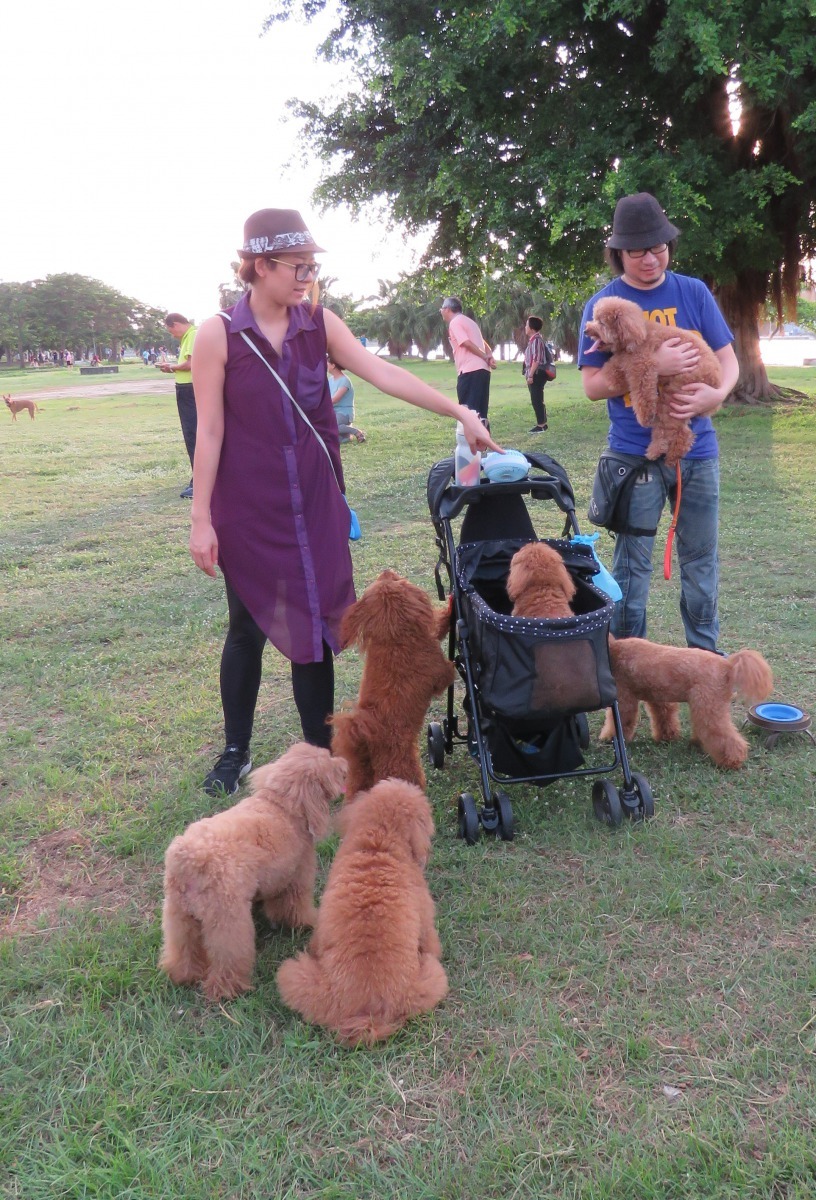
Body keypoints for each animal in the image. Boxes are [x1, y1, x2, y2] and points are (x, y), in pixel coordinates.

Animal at [159, 744, 348, 998]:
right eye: (330, 764)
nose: (345, 765)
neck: (281, 806)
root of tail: (189, 859)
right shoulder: (297, 877)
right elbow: (296, 907)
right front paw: (308, 922)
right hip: (227, 921)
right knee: (228, 957)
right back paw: (227, 989)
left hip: (179, 916)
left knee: (183, 949)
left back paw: (183, 974)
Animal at [277, 782, 448, 1046]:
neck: (379, 843)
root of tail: (367, 1015)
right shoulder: (425, 917)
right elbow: (430, 939)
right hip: (433, 977)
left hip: (299, 978)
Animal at [331, 571, 458, 806]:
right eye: (396, 580)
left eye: (386, 579)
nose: (385, 571)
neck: (394, 637)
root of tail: (364, 737)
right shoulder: (438, 673)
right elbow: (448, 669)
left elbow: (439, 625)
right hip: (401, 767)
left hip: (359, 777)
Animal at [585, 297, 720, 465]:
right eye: (594, 319)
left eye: (601, 323)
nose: (585, 330)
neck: (638, 334)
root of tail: (717, 380)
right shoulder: (627, 358)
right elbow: (616, 362)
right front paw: (613, 378)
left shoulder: (643, 367)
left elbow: (642, 395)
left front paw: (644, 417)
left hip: (678, 391)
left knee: (677, 430)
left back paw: (663, 454)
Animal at [600, 638, 772, 768]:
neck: (615, 649)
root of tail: (728, 666)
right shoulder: (658, 697)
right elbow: (664, 717)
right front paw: (666, 737)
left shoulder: (624, 699)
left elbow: (620, 721)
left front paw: (611, 738)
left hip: (708, 706)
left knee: (723, 734)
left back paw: (731, 761)